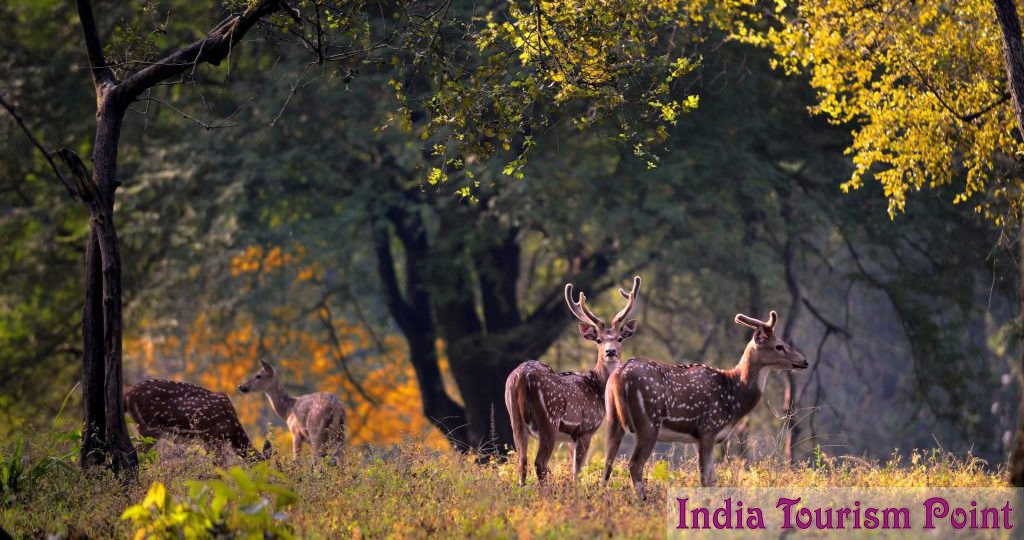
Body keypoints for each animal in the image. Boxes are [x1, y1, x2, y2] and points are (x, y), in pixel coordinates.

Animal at [503, 276, 638, 483]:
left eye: (620, 338)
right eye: (598, 340)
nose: (610, 352)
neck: (598, 386)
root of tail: (521, 378)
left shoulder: (570, 439)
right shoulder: (585, 429)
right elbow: (577, 471)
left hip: (514, 419)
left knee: (522, 462)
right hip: (549, 420)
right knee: (539, 462)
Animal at [598, 311, 806, 500]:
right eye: (779, 346)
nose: (804, 361)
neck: (734, 397)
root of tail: (619, 376)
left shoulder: (703, 437)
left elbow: (713, 477)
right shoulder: (708, 428)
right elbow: (706, 479)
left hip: (613, 418)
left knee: (607, 462)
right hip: (648, 421)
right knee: (635, 464)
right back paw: (643, 501)